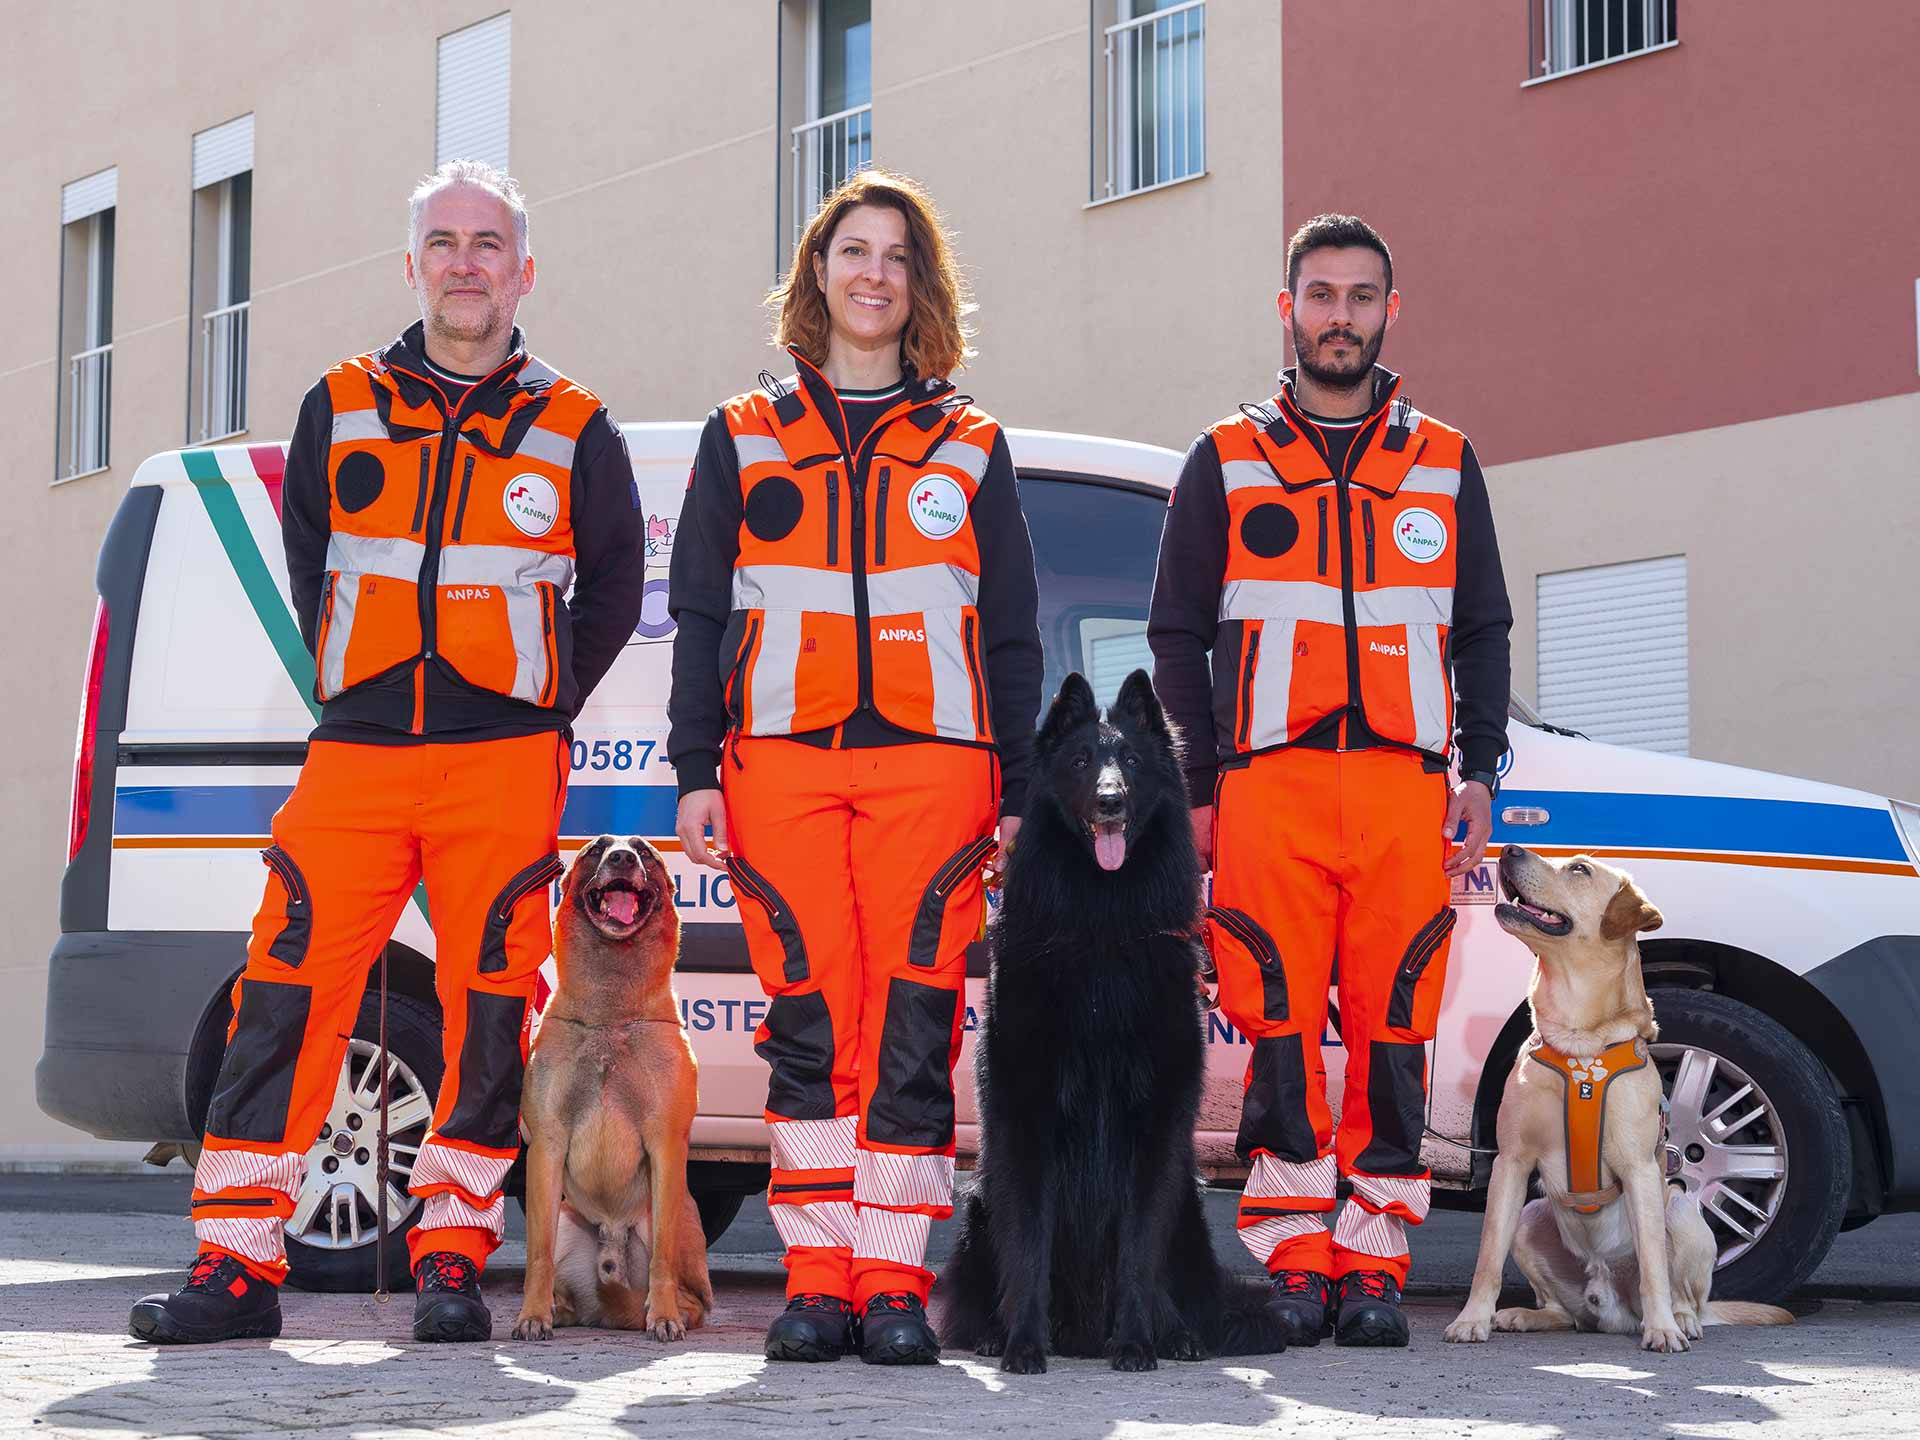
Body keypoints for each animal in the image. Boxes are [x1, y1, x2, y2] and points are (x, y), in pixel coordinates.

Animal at [510, 833, 714, 1344]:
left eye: (644, 850)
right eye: (597, 848)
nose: (621, 857)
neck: (611, 1015)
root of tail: (611, 1238)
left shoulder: (666, 1144)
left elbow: (662, 1262)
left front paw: (662, 1317)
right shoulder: (547, 1144)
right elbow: (535, 1256)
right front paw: (532, 1315)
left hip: (670, 1214)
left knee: (692, 1297)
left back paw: (667, 1311)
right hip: (566, 1219)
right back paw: (561, 1310)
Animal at [936, 675, 1282, 1374]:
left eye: (1131, 763)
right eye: (1079, 762)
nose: (1110, 802)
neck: (1101, 923)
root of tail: (1082, 1333)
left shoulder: (1154, 1131)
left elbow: (1137, 1256)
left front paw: (1136, 1343)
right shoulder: (1027, 1124)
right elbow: (1029, 1247)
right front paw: (1023, 1345)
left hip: (1187, 1204)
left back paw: (1175, 1336)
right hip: (980, 1202)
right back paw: (995, 1333)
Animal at [1443, 844, 1789, 1351]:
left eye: (1579, 869)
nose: (1508, 849)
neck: (1579, 1046)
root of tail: (1610, 1305)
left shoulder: (1640, 1167)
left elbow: (1653, 1266)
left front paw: (1663, 1329)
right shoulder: (1511, 1161)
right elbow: (1487, 1257)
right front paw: (1472, 1319)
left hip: (1681, 1211)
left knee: (1685, 1293)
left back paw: (1678, 1320)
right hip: (1531, 1216)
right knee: (1566, 1313)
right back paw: (1527, 1316)